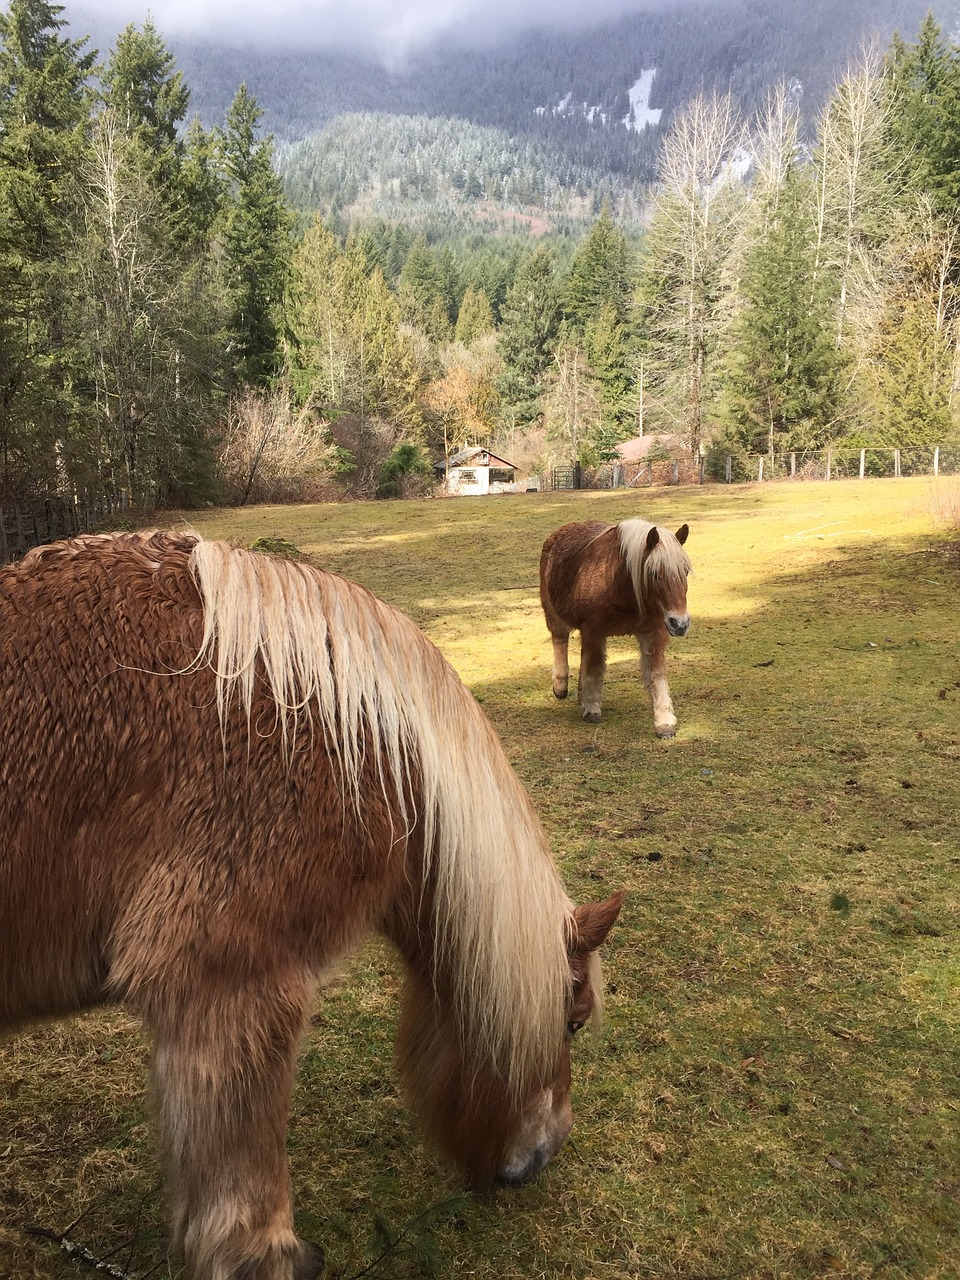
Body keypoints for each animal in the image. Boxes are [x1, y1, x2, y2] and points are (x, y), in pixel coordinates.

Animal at [0, 529, 624, 1280]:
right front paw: (268, 1255)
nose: (543, 1155)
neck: (359, 741)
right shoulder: (230, 983)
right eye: (574, 1023)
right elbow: (241, 1159)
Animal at [542, 519, 691, 742]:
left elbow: (656, 675)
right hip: (553, 614)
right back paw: (560, 686)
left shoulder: (653, 633)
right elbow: (593, 668)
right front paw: (592, 709)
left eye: (685, 571)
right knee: (560, 641)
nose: (680, 623)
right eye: (654, 573)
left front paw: (664, 722)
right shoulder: (593, 631)